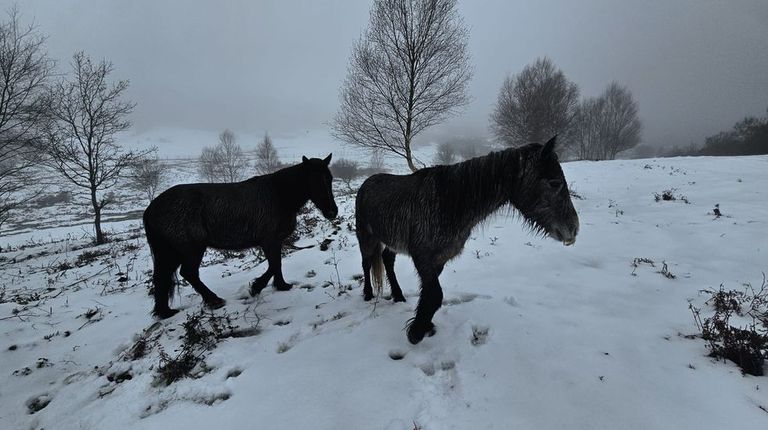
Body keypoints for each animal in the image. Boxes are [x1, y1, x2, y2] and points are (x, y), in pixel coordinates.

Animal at [143, 154, 338, 319]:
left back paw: (165, 311)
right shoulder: (269, 241)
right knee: (188, 273)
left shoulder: (274, 242)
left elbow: (276, 265)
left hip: (170, 252)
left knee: (162, 277)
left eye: (329, 178)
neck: (278, 194)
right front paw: (257, 287)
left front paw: (281, 286)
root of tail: (150, 209)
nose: (332, 212)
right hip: (191, 249)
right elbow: (274, 264)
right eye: (313, 180)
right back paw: (214, 300)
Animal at [355, 136, 579, 344]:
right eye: (554, 183)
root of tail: (366, 183)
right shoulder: (422, 257)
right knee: (366, 263)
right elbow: (435, 294)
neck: (447, 202)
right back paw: (368, 294)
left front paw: (424, 325)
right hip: (366, 237)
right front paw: (416, 333)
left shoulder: (439, 260)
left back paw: (399, 296)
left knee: (387, 260)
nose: (573, 229)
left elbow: (429, 294)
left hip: (391, 240)